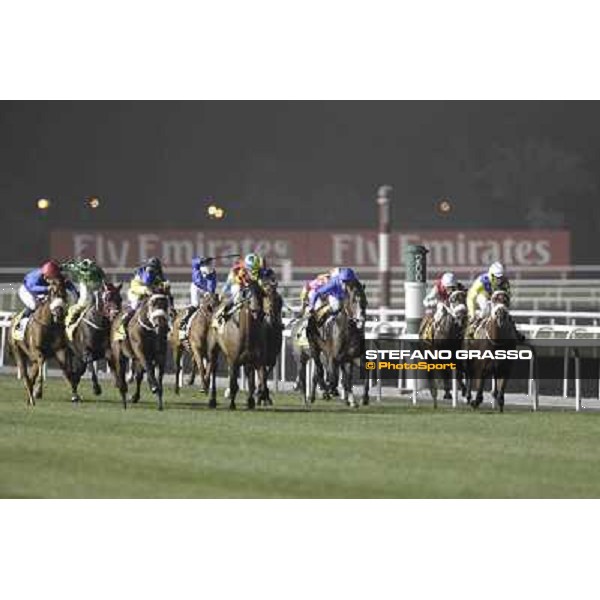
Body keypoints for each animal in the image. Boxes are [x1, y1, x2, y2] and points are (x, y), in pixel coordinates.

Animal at [207, 280, 268, 410]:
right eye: (247, 293)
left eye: (260, 292)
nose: (256, 310)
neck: (247, 333)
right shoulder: (233, 359)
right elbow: (233, 383)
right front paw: (232, 403)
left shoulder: (258, 359)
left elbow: (261, 378)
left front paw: (258, 397)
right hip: (214, 349)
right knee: (213, 369)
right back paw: (212, 400)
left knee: (249, 373)